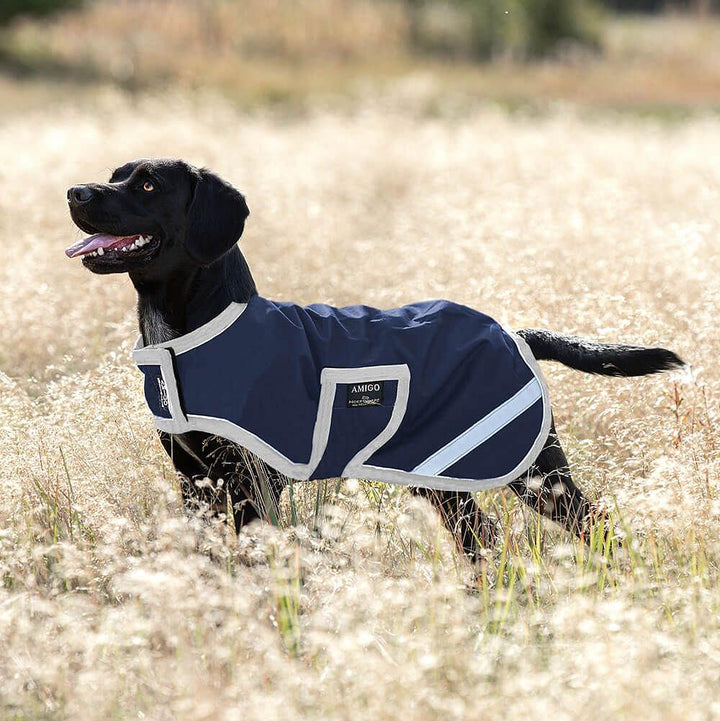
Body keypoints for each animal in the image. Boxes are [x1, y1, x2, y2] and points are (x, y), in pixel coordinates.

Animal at [66, 160, 688, 560]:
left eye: (147, 183)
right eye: (116, 173)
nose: (75, 192)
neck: (186, 332)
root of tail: (514, 333)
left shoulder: (250, 484)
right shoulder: (194, 481)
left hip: (535, 473)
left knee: (594, 525)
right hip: (442, 478)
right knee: (483, 541)